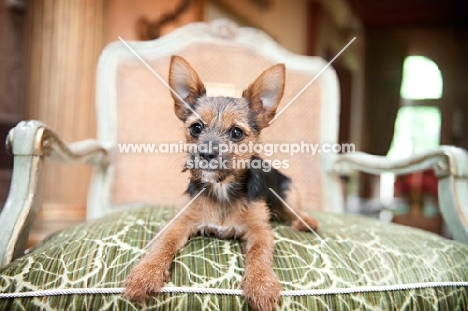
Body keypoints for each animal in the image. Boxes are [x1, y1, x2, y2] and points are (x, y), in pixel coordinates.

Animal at [123, 56, 318, 311]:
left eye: (236, 133)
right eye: (196, 128)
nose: (206, 154)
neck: (222, 187)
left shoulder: (260, 230)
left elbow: (259, 254)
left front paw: (262, 285)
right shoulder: (179, 222)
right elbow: (163, 244)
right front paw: (145, 273)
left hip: (288, 191)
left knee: (295, 211)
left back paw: (306, 221)